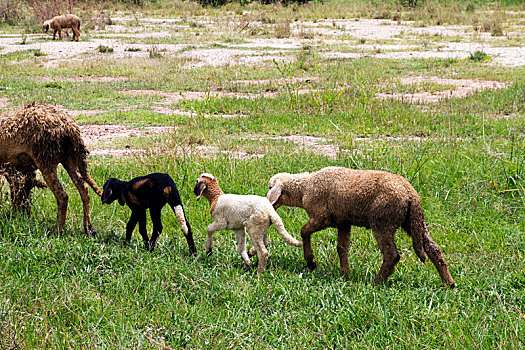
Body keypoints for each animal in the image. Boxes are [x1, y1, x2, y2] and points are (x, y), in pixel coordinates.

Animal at [0, 103, 102, 235]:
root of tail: (70, 127)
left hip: (45, 159)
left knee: (63, 195)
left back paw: (57, 232)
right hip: (69, 158)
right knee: (83, 188)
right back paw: (88, 228)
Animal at [266, 167, 454, 288]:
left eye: (270, 187)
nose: (267, 203)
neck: (304, 189)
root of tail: (411, 194)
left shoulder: (322, 217)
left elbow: (304, 231)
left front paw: (311, 261)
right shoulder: (343, 222)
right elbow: (342, 248)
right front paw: (345, 273)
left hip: (383, 222)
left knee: (392, 254)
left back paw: (376, 282)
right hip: (414, 221)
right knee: (433, 248)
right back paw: (448, 283)